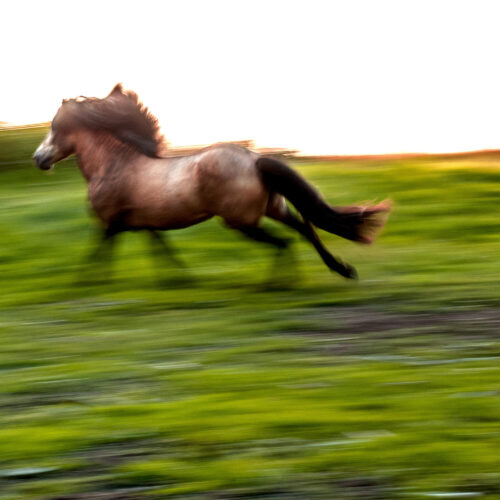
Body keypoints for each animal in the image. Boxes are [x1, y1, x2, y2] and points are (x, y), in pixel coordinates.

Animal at [33, 83, 391, 280]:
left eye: (54, 126)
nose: (38, 159)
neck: (115, 164)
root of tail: (253, 160)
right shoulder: (141, 224)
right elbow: (160, 249)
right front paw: (179, 280)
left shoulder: (109, 223)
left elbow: (97, 252)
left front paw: (85, 284)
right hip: (273, 209)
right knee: (305, 229)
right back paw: (340, 269)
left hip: (241, 222)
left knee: (285, 242)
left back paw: (278, 284)